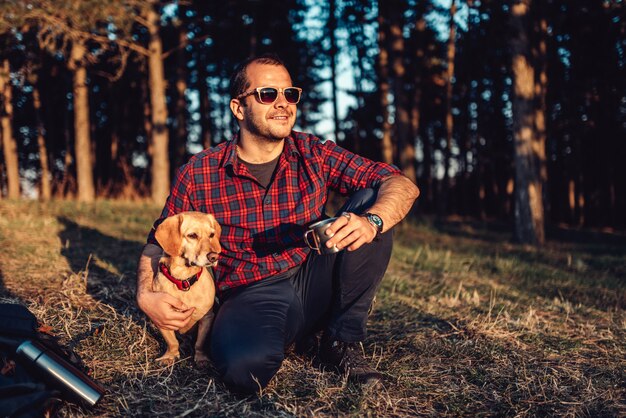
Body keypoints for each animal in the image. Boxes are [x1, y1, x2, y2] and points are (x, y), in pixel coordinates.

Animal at [152, 211, 221, 368]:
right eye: (192, 235)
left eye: (212, 235)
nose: (214, 257)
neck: (184, 281)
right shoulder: (162, 318)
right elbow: (172, 341)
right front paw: (170, 356)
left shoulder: (206, 318)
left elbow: (200, 343)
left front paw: (201, 358)